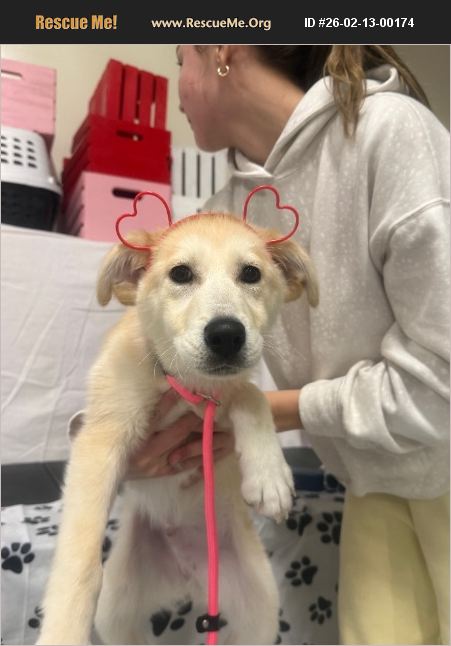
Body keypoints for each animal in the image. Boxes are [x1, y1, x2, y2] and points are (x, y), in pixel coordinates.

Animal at [37, 211, 318, 645]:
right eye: (181, 273)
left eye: (251, 273)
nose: (226, 335)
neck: (185, 382)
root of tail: (187, 578)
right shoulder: (100, 439)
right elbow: (80, 561)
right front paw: (63, 632)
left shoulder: (224, 396)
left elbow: (252, 395)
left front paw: (269, 476)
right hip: (117, 611)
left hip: (258, 608)